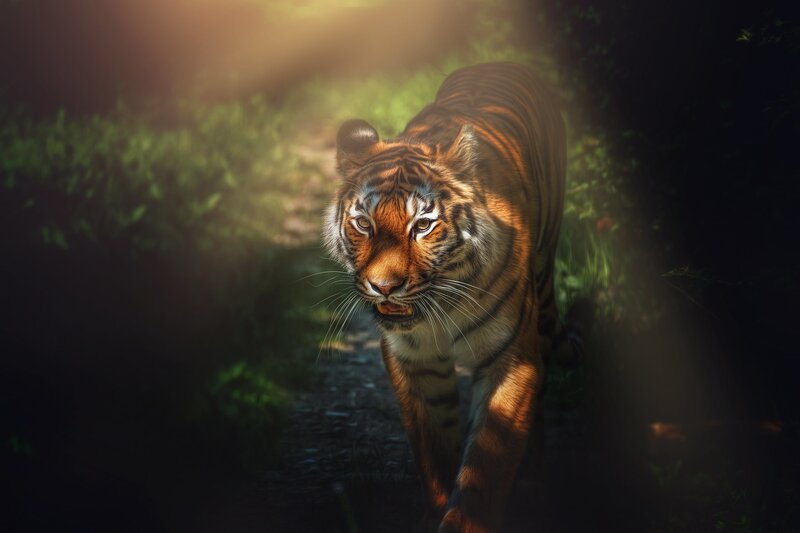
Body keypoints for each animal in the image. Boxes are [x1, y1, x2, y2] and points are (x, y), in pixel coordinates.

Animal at [323, 62, 577, 532]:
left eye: (422, 226)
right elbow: (434, 449)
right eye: (364, 223)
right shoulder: (414, 361)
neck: (442, 306)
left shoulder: (510, 358)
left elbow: (487, 464)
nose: (384, 286)